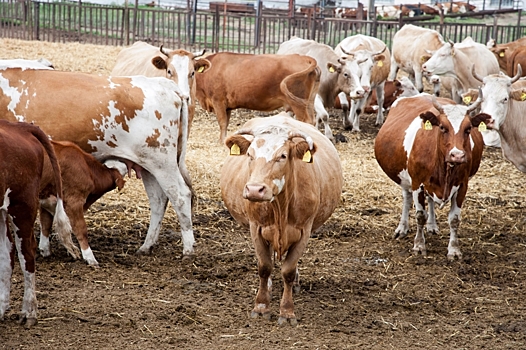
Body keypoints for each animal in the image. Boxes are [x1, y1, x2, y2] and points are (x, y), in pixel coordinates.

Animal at [0, 67, 196, 256]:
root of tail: (165, 84)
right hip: (148, 165)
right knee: (158, 199)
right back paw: (146, 246)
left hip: (162, 161)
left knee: (180, 196)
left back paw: (188, 248)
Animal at [221, 112, 344, 326]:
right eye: (250, 154)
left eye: (283, 156)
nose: (254, 189)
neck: (280, 206)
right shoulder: (256, 227)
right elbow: (264, 267)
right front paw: (261, 306)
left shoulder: (304, 231)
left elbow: (288, 270)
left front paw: (287, 312)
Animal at [378, 93, 492, 260]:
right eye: (443, 127)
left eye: (468, 128)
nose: (457, 155)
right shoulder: (417, 183)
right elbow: (420, 216)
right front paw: (419, 245)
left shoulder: (462, 185)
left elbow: (454, 219)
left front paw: (454, 250)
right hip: (405, 178)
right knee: (407, 198)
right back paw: (402, 228)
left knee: (430, 200)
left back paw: (432, 226)